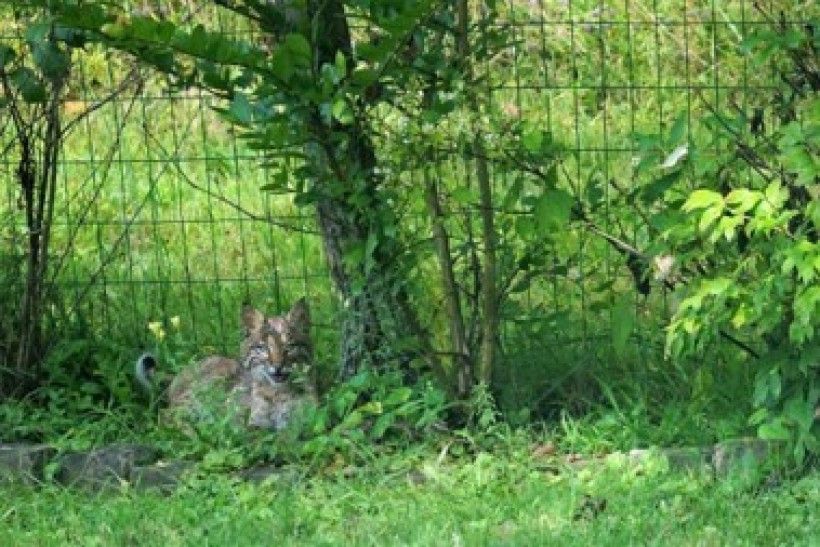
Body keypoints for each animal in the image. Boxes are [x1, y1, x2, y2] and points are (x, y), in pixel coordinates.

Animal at [136, 300, 316, 432]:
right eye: (263, 347)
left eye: (290, 347)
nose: (278, 367)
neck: (278, 391)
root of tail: (182, 370)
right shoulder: (253, 423)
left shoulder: (306, 422)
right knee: (165, 414)